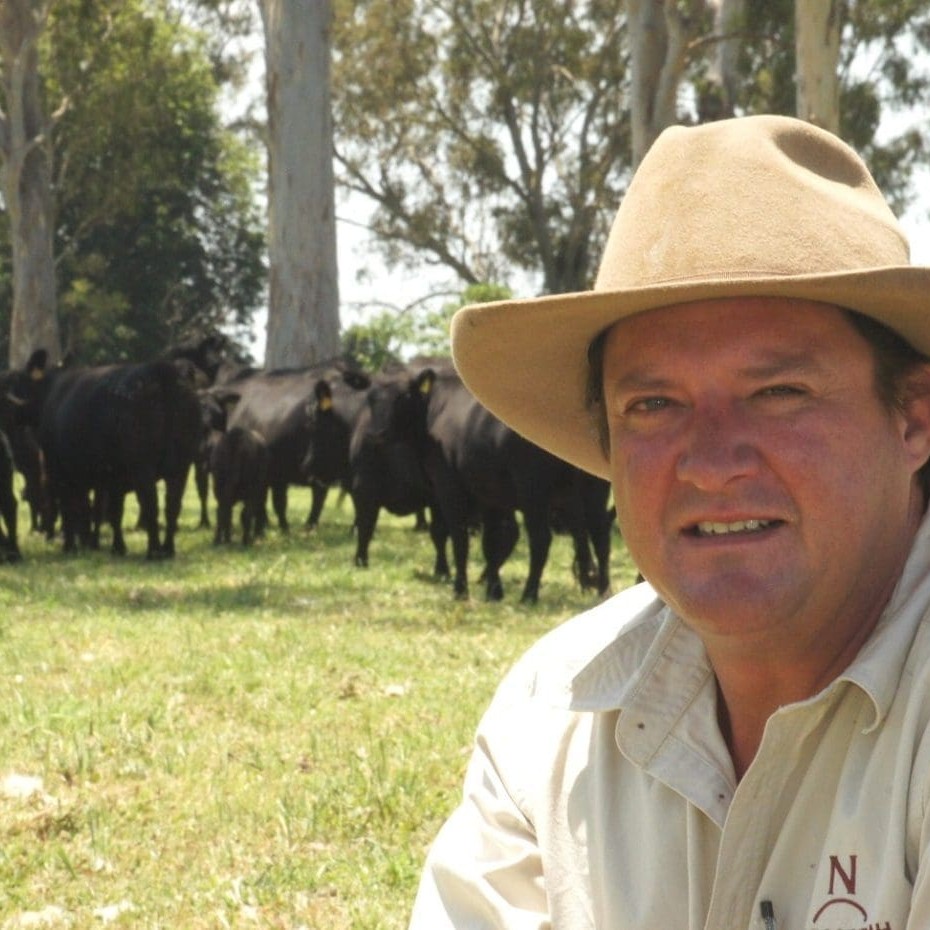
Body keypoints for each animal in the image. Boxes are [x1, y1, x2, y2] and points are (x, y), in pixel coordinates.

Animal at [6, 346, 200, 552]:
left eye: (18, 383)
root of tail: (159, 369)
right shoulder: (109, 476)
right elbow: (109, 510)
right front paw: (112, 546)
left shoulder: (60, 471)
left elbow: (72, 507)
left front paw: (72, 546)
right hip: (181, 464)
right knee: (172, 504)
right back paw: (167, 549)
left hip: (143, 465)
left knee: (150, 503)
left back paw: (154, 551)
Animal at [376, 362, 608, 600]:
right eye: (373, 397)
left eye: (403, 396)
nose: (379, 432)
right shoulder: (490, 496)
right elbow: (492, 541)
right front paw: (494, 591)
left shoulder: (448, 486)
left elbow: (458, 536)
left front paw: (460, 589)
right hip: (592, 491)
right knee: (600, 534)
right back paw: (602, 589)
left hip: (534, 490)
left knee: (541, 538)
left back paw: (529, 594)